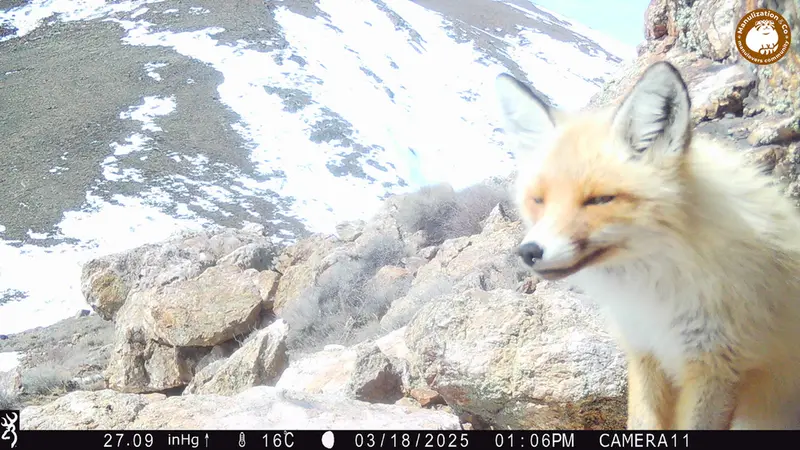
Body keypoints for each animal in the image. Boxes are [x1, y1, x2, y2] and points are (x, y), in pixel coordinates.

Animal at [493, 61, 800, 430]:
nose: (529, 252)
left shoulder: (717, 367)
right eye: (538, 200)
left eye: (600, 199)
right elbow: (642, 422)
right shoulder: (644, 349)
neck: (655, 294)